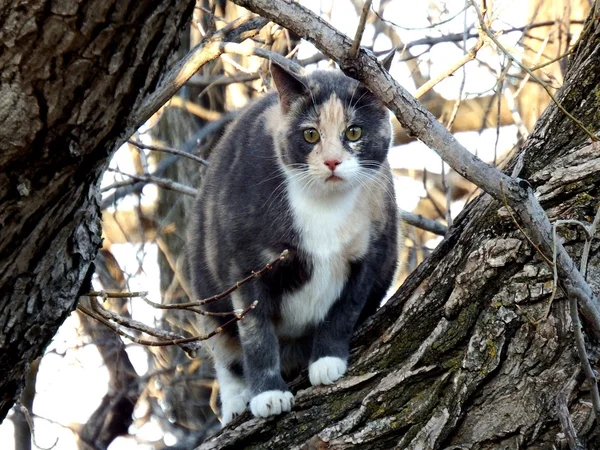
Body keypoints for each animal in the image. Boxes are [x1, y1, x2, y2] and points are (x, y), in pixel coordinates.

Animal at [190, 60, 398, 426]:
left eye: (354, 132)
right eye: (310, 134)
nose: (332, 161)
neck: (324, 207)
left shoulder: (373, 248)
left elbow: (346, 307)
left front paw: (327, 361)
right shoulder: (243, 263)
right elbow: (255, 331)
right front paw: (268, 395)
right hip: (206, 286)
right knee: (225, 351)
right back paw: (236, 402)